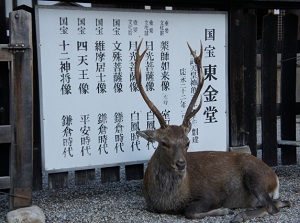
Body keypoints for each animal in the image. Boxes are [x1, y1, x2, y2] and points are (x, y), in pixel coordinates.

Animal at [134, 40, 290, 223]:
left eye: (187, 142)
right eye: (164, 143)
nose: (181, 164)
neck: (167, 202)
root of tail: (275, 178)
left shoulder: (210, 194)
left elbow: (190, 211)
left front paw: (223, 210)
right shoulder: (149, 205)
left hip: (255, 175)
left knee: (271, 206)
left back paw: (240, 215)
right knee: (281, 202)